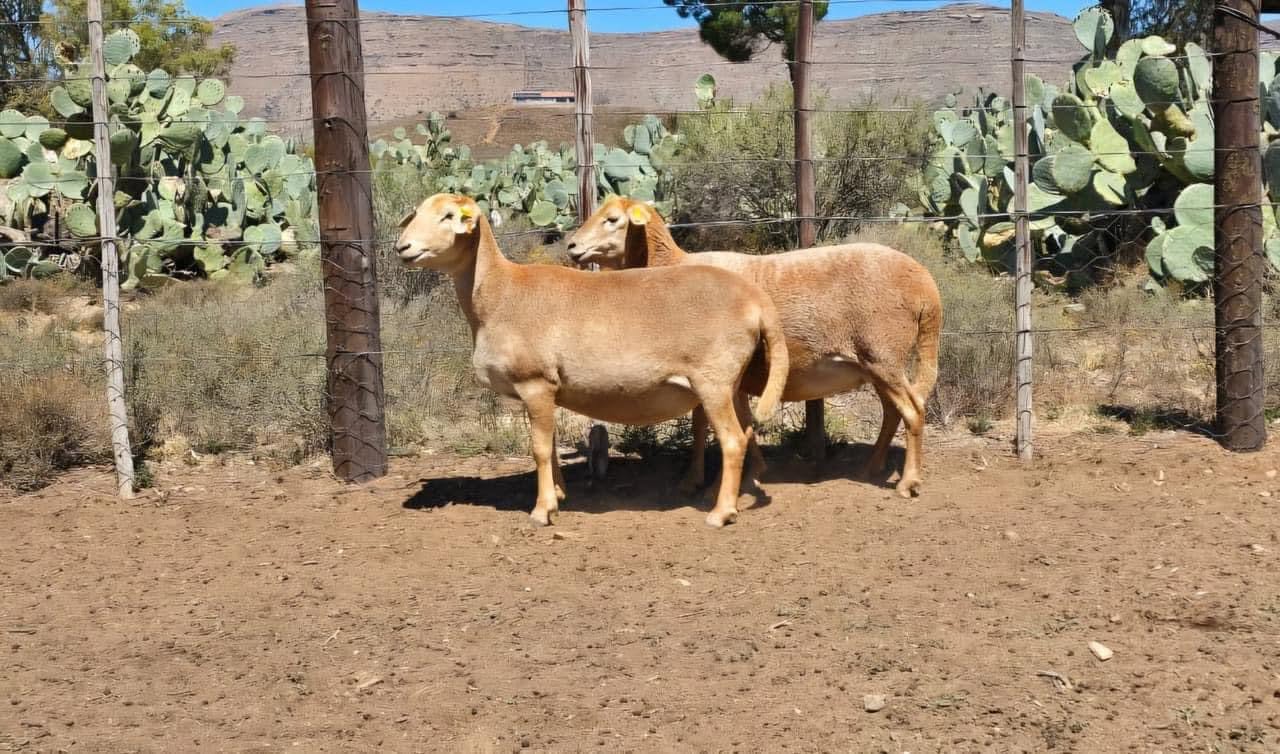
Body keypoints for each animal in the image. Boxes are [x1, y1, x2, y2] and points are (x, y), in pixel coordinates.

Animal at [394, 193, 789, 527]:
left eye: (448, 216)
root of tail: (756, 299)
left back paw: (720, 514)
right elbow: (551, 447)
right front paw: (557, 495)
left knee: (732, 441)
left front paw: (542, 511)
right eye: (416, 213)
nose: (402, 247)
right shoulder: (545, 391)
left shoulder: (535, 382)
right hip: (730, 383)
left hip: (714, 381)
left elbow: (539, 449)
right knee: (745, 432)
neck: (498, 294)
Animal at [565, 197, 942, 498]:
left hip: (883, 356)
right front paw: (735, 475)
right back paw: (871, 468)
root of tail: (927, 286)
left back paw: (908, 483)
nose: (571, 246)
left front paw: (718, 482)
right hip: (877, 362)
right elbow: (716, 425)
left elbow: (717, 426)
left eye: (612, 219)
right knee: (894, 412)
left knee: (913, 411)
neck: (667, 266)